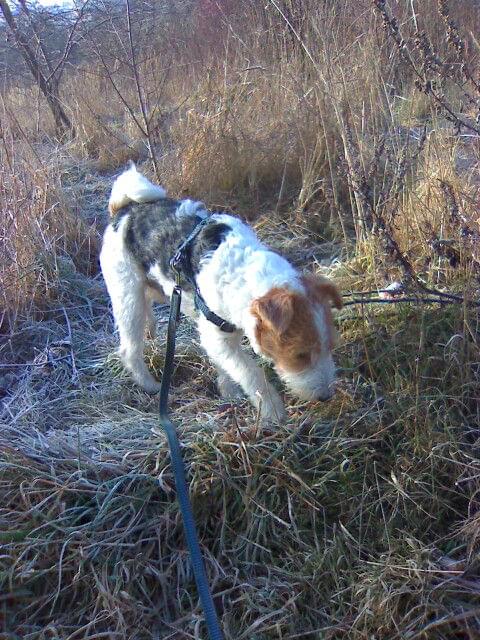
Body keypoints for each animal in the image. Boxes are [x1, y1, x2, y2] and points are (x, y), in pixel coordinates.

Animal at [100, 164, 342, 423]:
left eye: (330, 346)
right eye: (300, 355)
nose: (326, 396)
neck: (244, 275)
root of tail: (123, 210)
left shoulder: (219, 336)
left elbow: (226, 367)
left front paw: (229, 391)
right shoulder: (218, 337)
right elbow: (250, 372)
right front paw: (272, 410)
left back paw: (151, 329)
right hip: (127, 297)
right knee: (129, 348)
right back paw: (150, 385)